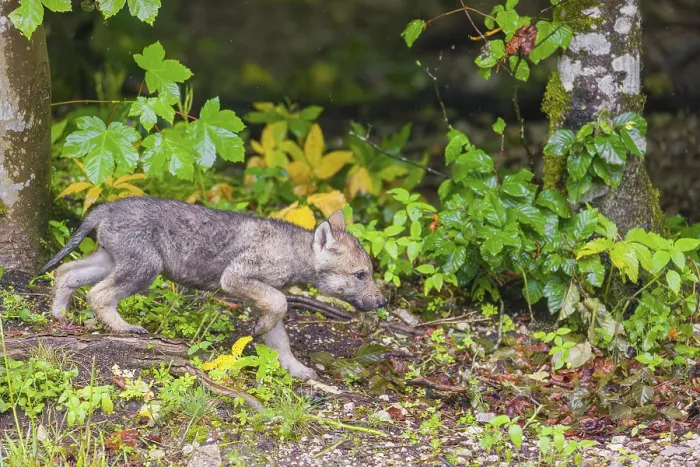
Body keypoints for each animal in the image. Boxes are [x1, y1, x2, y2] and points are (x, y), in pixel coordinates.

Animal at [39, 197, 386, 380]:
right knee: (97, 295)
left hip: (110, 259)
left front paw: (298, 370)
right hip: (144, 268)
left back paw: (59, 316)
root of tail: (105, 208)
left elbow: (279, 339)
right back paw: (125, 328)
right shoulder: (235, 278)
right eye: (360, 274)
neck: (294, 252)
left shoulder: (262, 294)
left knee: (65, 273)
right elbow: (280, 306)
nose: (382, 302)